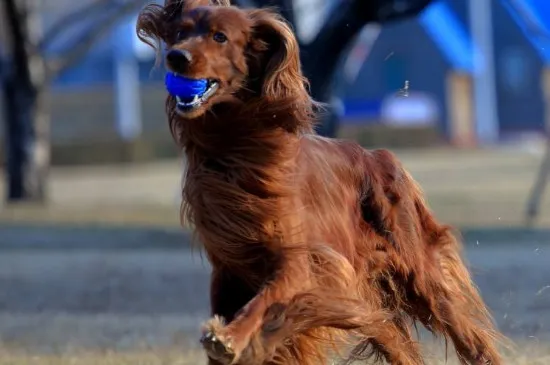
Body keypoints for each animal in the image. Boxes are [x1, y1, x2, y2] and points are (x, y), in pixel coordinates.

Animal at [136, 1, 506, 362]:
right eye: (180, 32)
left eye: (220, 36)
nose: (177, 57)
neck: (236, 149)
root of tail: (381, 156)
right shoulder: (228, 267)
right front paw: (242, 342)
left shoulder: (299, 261)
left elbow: (265, 304)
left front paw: (231, 338)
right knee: (397, 343)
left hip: (420, 275)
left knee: (469, 338)